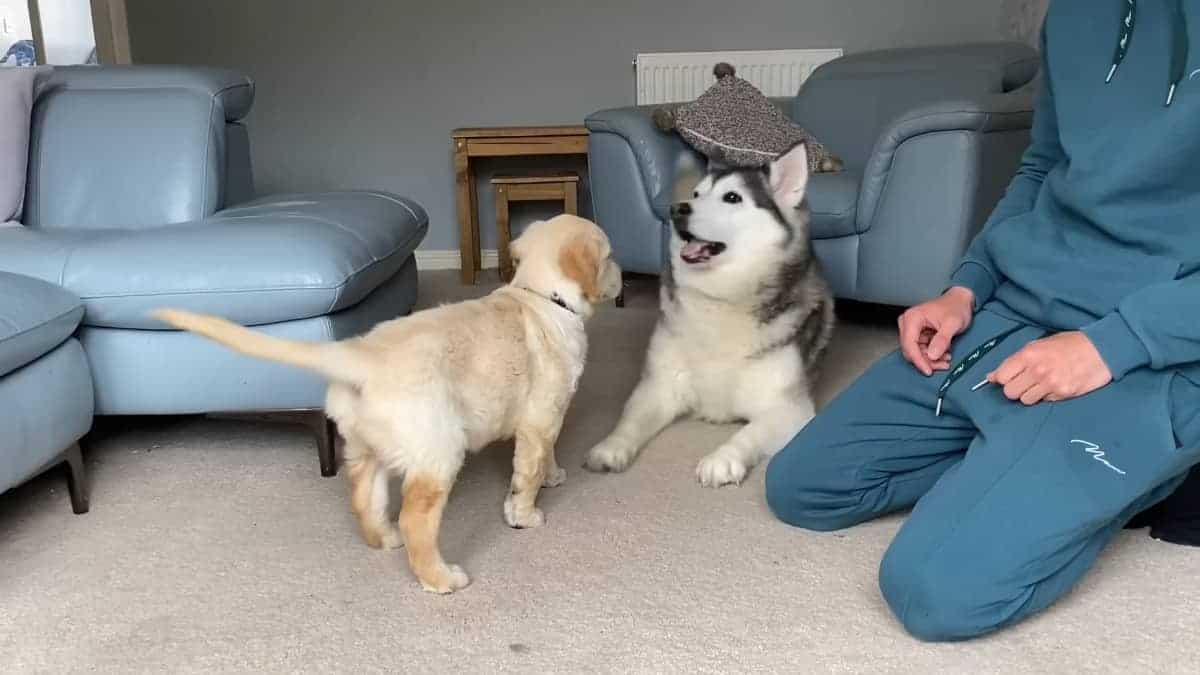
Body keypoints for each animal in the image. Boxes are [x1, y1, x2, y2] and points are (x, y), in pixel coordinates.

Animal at [154, 214, 624, 588]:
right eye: (609, 257)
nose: (621, 279)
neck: (543, 296)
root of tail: (363, 356)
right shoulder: (542, 416)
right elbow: (529, 468)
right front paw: (526, 514)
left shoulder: (543, 418)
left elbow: (544, 456)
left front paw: (553, 475)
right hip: (438, 450)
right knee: (416, 521)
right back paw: (442, 579)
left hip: (364, 446)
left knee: (363, 497)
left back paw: (382, 539)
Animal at [583, 144, 830, 485]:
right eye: (697, 194)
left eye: (732, 197)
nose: (676, 209)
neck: (721, 298)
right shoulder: (659, 386)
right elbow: (631, 421)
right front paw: (611, 446)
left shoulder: (789, 409)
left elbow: (749, 433)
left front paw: (723, 458)